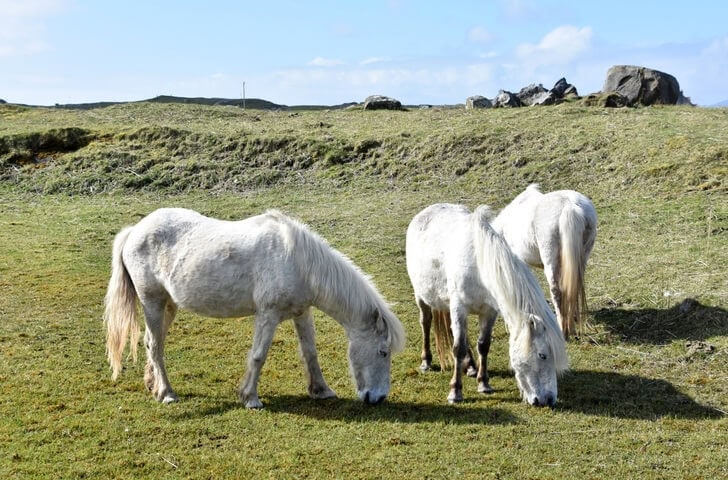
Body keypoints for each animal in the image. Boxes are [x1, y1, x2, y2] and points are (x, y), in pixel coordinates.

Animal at [104, 208, 406, 409]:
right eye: (383, 352)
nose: (378, 398)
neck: (298, 262)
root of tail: (134, 231)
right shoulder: (268, 315)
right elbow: (259, 355)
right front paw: (250, 398)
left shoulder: (302, 313)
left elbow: (310, 353)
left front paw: (321, 390)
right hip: (152, 302)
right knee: (155, 345)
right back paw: (167, 393)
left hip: (168, 305)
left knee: (151, 342)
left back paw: (153, 385)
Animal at [406, 203, 568, 407]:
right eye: (542, 355)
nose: (548, 399)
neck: (480, 267)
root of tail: (427, 210)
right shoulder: (459, 308)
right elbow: (457, 348)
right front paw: (455, 392)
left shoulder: (489, 311)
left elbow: (483, 345)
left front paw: (483, 384)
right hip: (421, 295)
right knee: (426, 322)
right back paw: (426, 361)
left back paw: (471, 367)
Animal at [492, 184, 597, 339]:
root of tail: (570, 205)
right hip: (581, 258)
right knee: (574, 286)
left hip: (550, 261)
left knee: (557, 290)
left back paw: (563, 329)